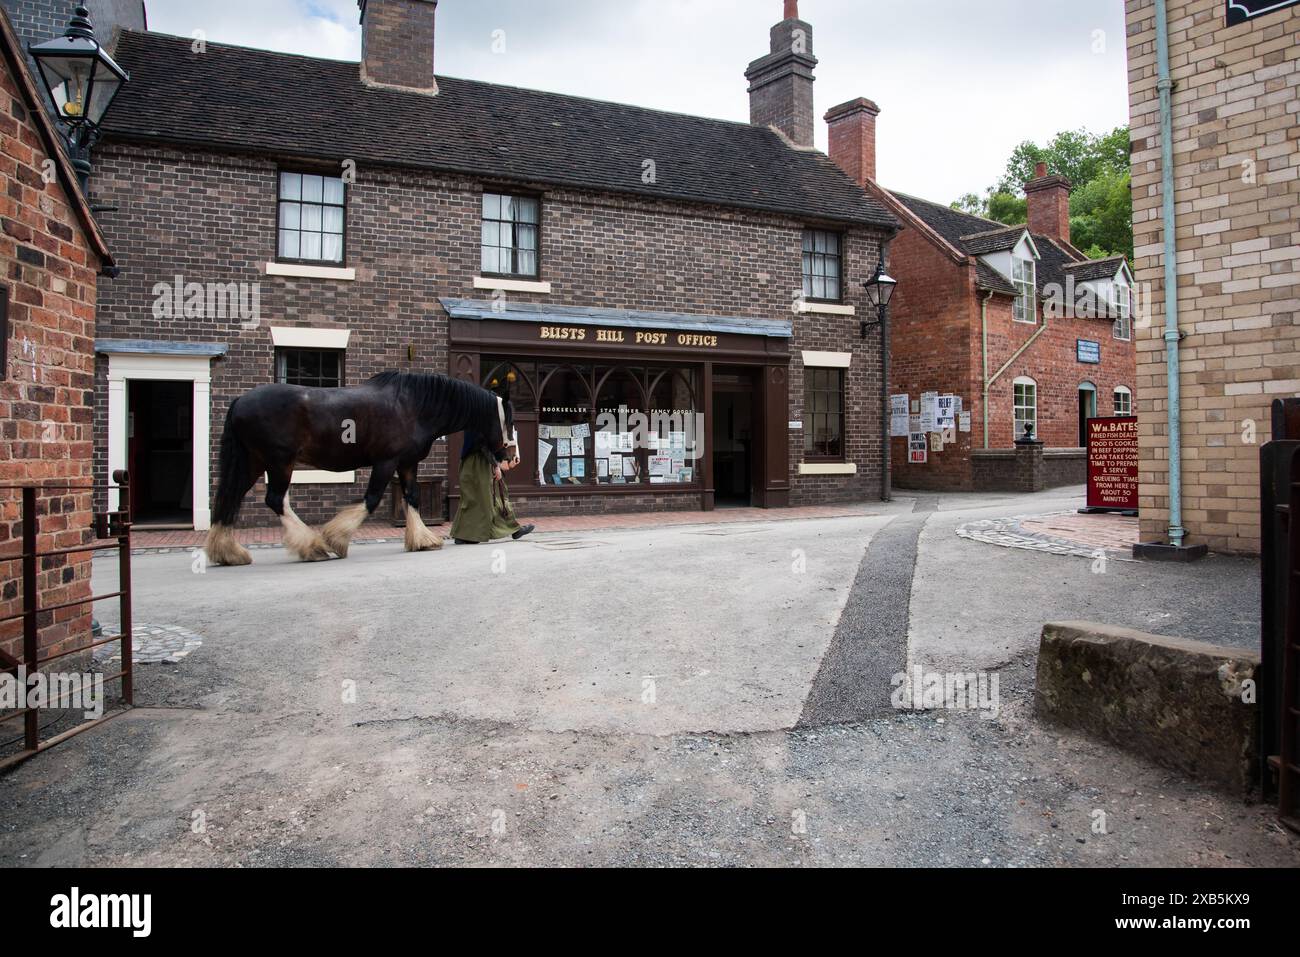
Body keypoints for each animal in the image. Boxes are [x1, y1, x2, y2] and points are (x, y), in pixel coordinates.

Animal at [205, 371, 514, 566]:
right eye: (508, 420)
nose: (510, 458)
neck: (414, 406)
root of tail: (240, 401)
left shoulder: (407, 462)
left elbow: (412, 498)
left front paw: (422, 539)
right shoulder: (386, 461)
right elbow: (372, 499)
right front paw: (335, 539)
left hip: (254, 462)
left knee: (230, 498)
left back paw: (228, 553)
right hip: (279, 462)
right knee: (274, 499)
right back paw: (312, 546)